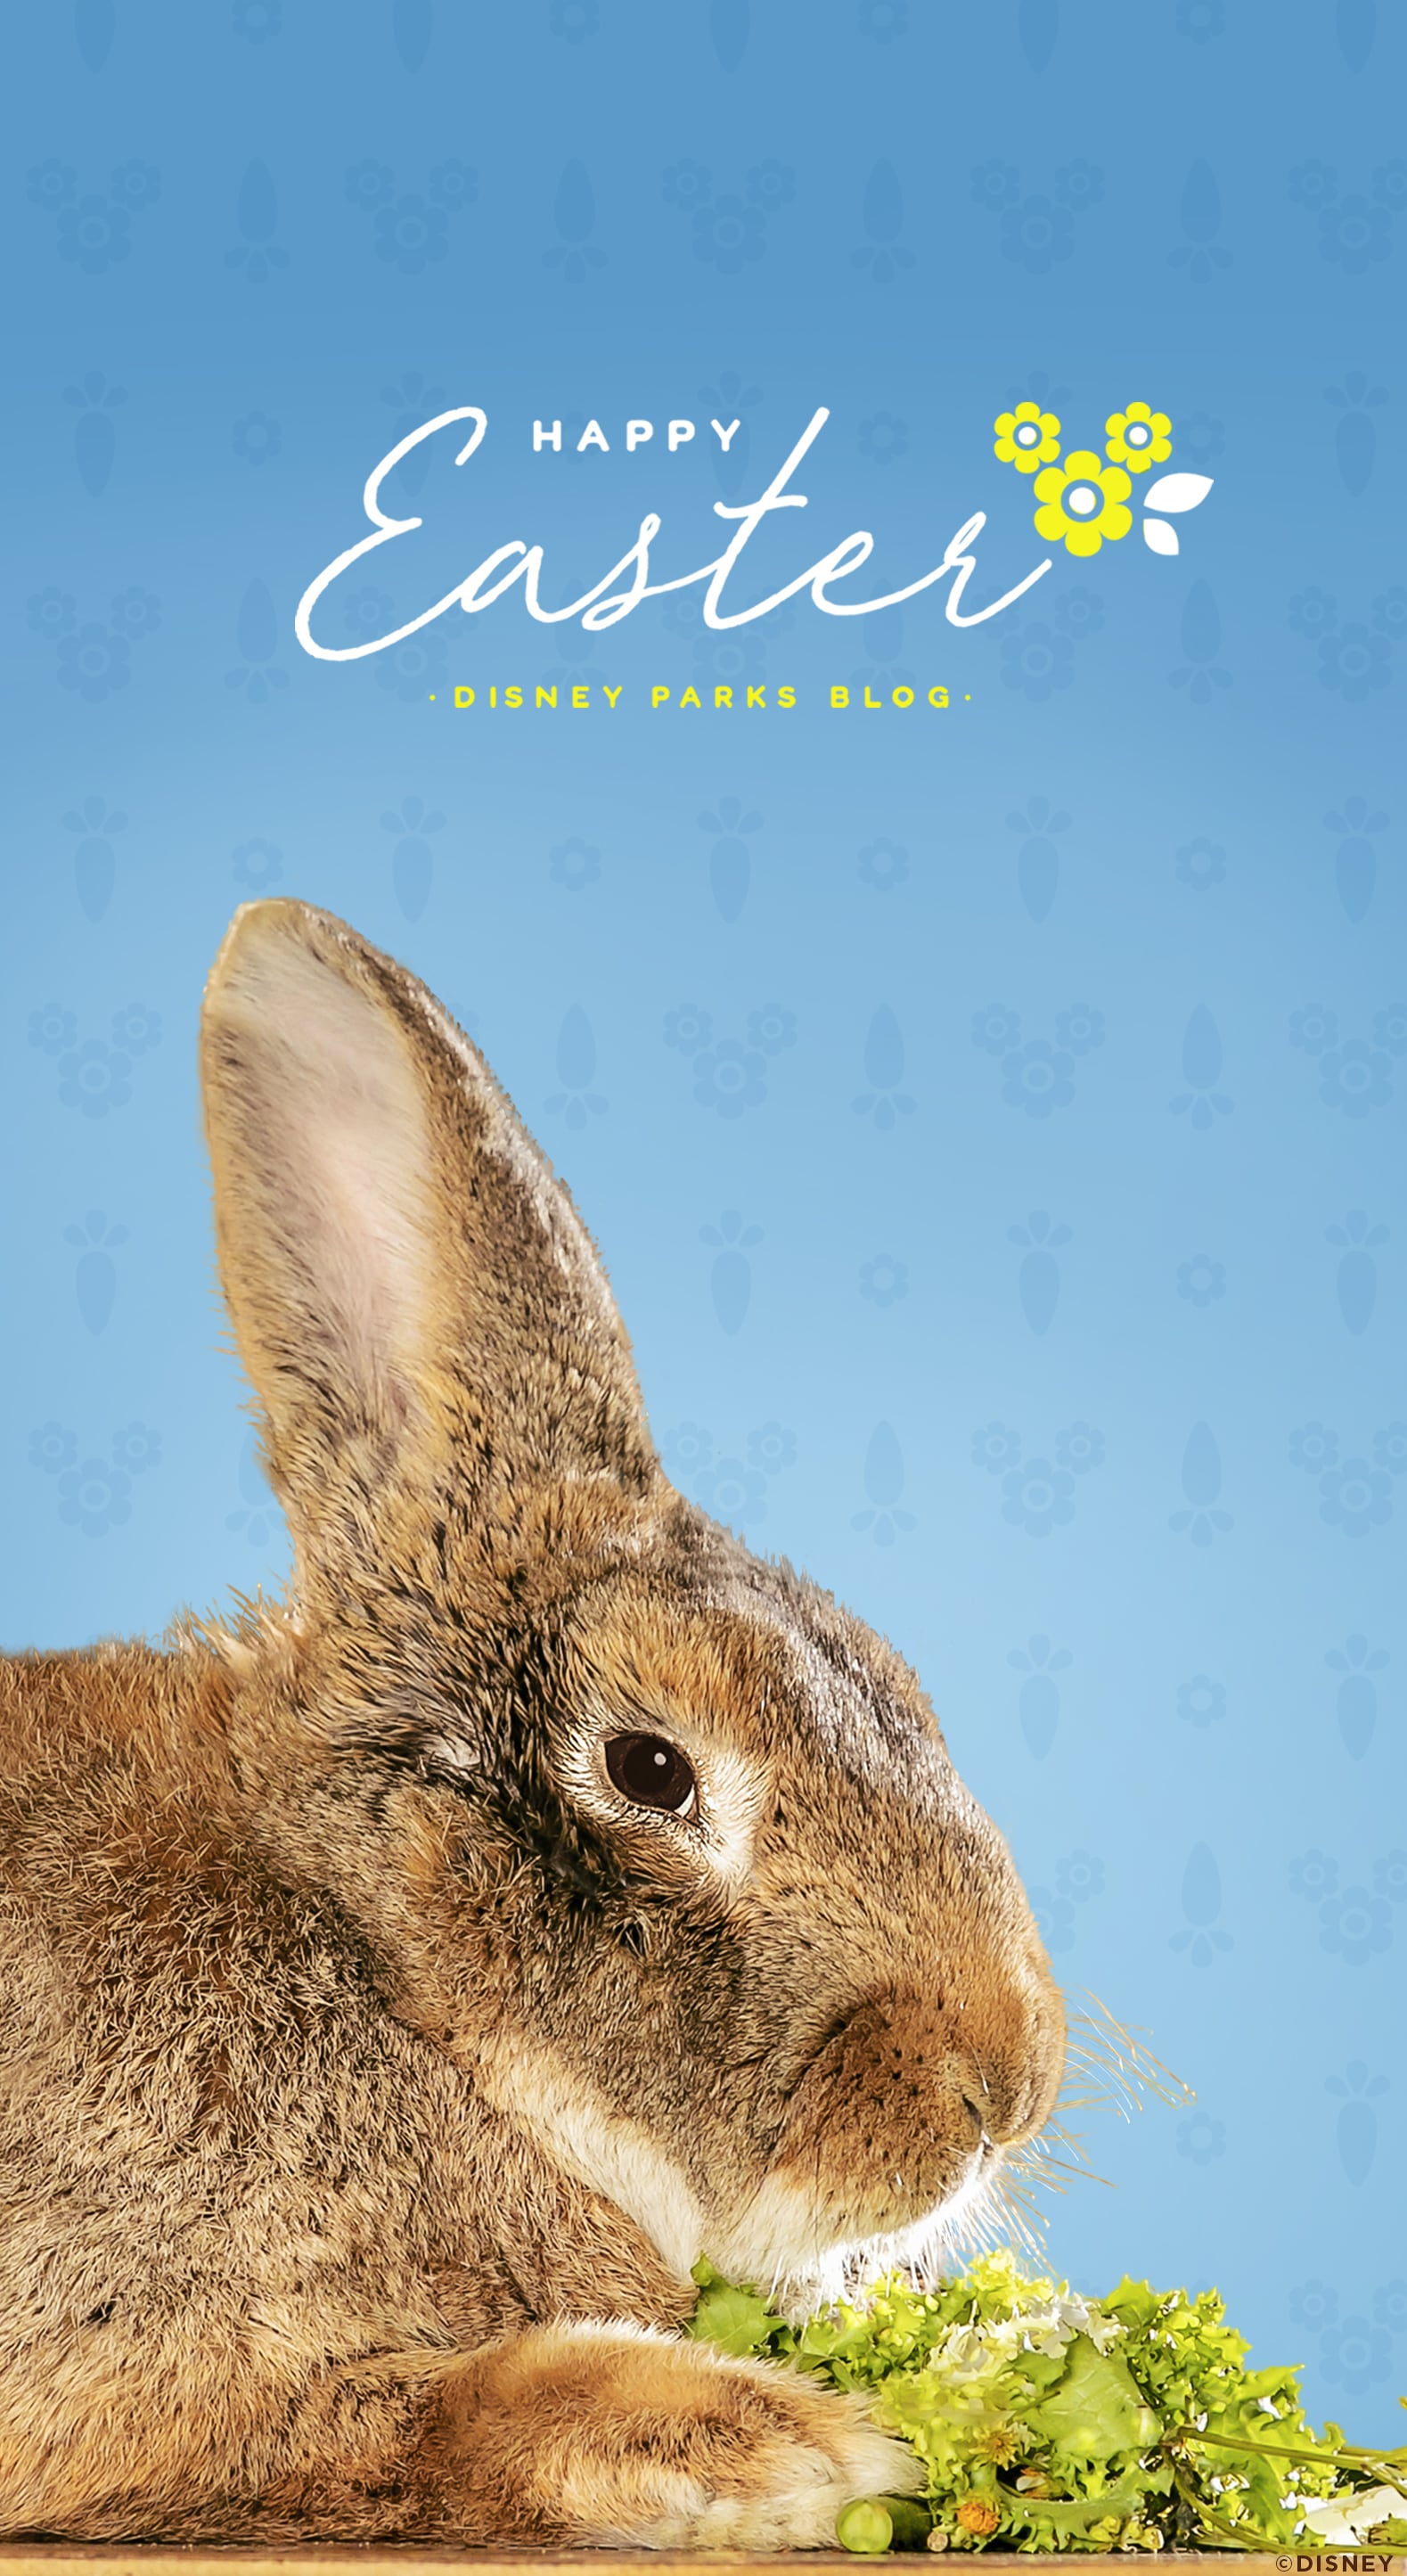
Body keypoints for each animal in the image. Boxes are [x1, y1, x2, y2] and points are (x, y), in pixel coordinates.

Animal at [0, 899, 1065, 2547]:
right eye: (649, 1768)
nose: (998, 2089)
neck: (385, 1978)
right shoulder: (145, 2366)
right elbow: (434, 2413)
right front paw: (790, 2445)